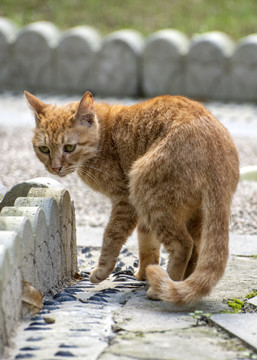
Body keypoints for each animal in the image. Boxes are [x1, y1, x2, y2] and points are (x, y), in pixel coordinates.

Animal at [24, 90, 238, 304]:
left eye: (69, 147)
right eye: (44, 149)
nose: (55, 167)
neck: (104, 137)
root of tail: (216, 154)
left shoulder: (125, 200)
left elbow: (112, 235)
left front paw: (102, 270)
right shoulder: (141, 214)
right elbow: (147, 243)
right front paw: (143, 273)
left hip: (147, 192)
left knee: (183, 245)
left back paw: (163, 288)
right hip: (187, 213)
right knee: (196, 248)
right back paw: (181, 280)